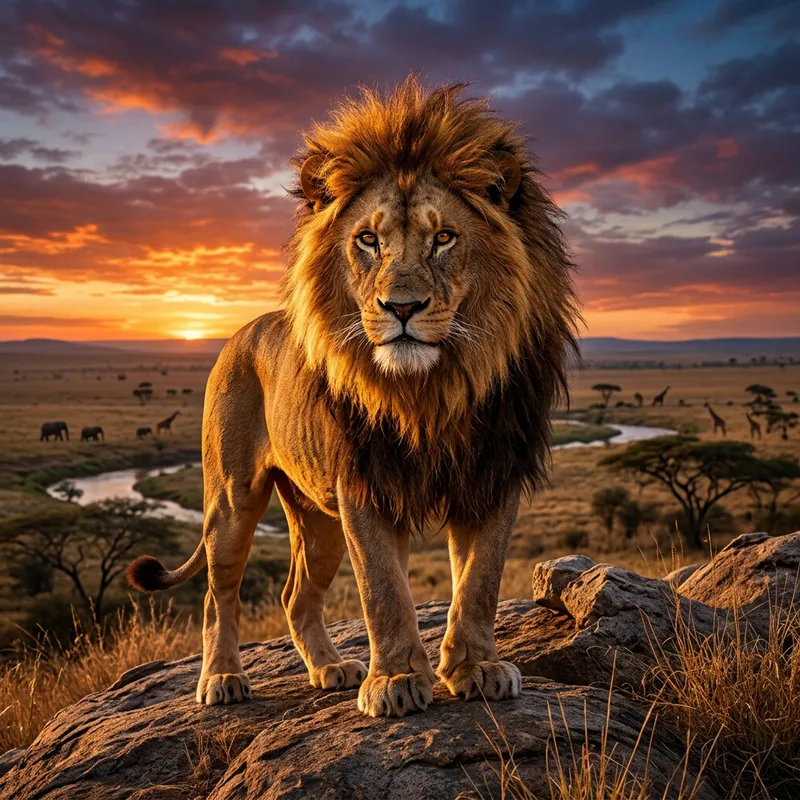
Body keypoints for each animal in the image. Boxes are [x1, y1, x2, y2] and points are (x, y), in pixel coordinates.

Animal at [127, 77, 578, 718]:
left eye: (444, 239)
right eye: (368, 240)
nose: (402, 307)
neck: (431, 391)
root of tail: (239, 333)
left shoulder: (492, 473)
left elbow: (479, 583)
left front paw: (476, 667)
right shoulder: (365, 480)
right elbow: (383, 590)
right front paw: (396, 680)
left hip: (318, 522)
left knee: (294, 595)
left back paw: (329, 669)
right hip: (232, 501)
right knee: (220, 594)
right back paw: (221, 679)